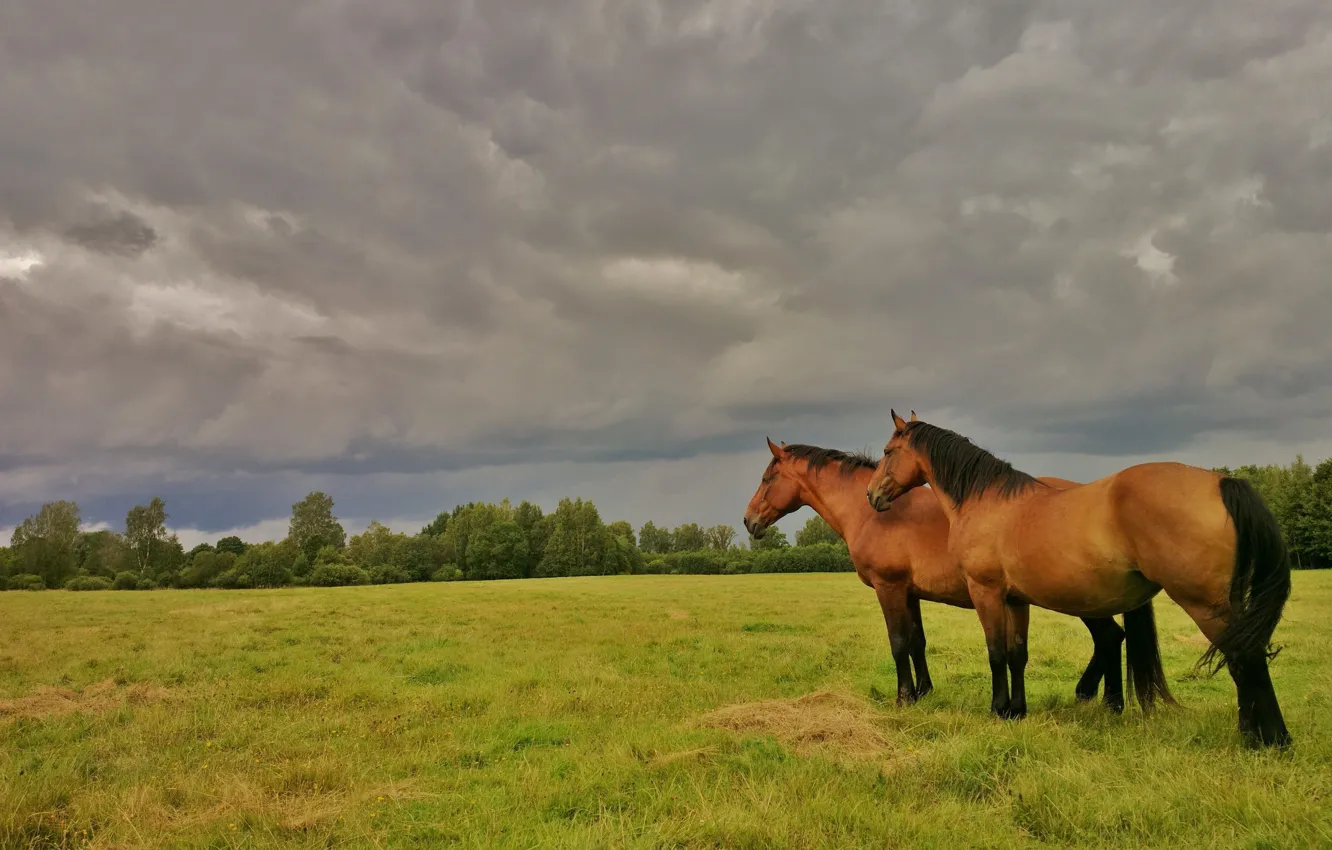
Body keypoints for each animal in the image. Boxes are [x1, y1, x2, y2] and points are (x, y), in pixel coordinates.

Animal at [743, 437, 1170, 712]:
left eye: (766, 479)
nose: (749, 521)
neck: (871, 513)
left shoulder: (889, 588)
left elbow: (898, 642)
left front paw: (904, 698)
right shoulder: (910, 592)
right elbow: (917, 641)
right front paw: (924, 692)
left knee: (1110, 637)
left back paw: (1104, 700)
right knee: (1111, 638)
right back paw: (1101, 699)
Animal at [866, 410, 1290, 748]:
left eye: (887, 452)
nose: (872, 495)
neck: (986, 502)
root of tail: (1220, 482)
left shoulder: (986, 593)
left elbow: (996, 653)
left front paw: (998, 710)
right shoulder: (1015, 599)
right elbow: (1017, 653)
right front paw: (1016, 711)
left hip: (1204, 603)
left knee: (1244, 659)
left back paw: (1266, 739)